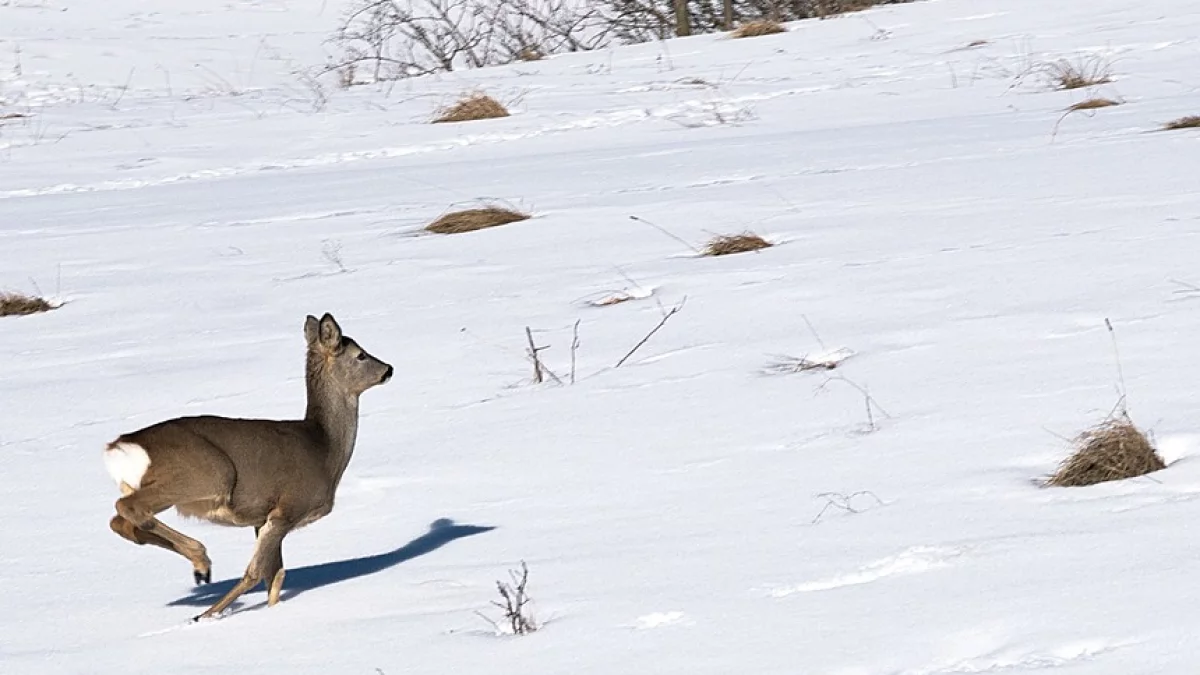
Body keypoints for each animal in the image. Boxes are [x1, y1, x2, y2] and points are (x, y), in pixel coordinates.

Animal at [103, 312, 393, 619]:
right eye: (360, 355)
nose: (389, 369)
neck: (325, 448)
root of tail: (121, 446)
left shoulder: (261, 519)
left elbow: (275, 574)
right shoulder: (286, 509)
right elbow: (255, 573)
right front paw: (205, 615)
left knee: (123, 522)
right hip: (209, 475)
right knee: (129, 508)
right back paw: (201, 562)